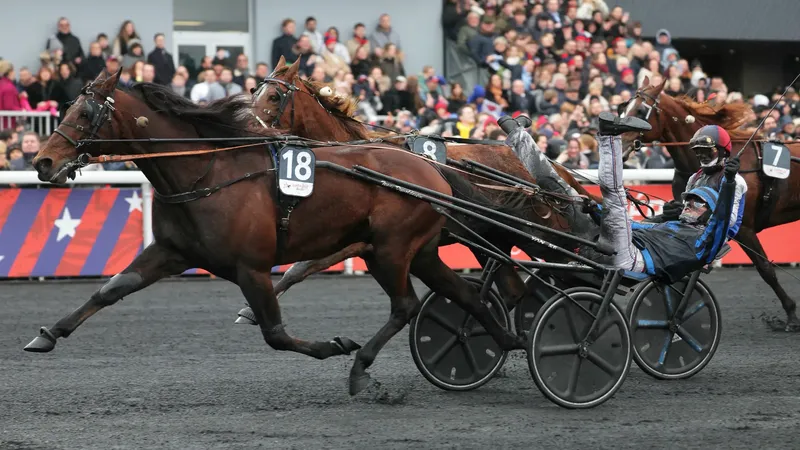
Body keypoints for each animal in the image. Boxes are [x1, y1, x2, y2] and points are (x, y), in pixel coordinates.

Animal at [25, 68, 540, 396]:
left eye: (86, 114)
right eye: (67, 105)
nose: (42, 161)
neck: (205, 171)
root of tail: (431, 169)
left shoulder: (251, 267)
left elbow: (275, 332)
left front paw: (334, 346)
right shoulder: (172, 251)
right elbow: (112, 289)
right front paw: (47, 334)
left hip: (390, 250)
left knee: (407, 306)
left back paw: (362, 370)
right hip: (420, 251)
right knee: (466, 295)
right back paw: (506, 340)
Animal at [241, 57, 604, 324]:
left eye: (274, 96)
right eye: (253, 91)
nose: (243, 128)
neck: (357, 155)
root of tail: (552, 166)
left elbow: (301, 266)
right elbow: (298, 268)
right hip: (496, 236)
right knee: (517, 290)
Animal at [620, 76, 800, 330]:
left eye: (640, 110)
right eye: (624, 106)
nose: (617, 143)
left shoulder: (743, 228)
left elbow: (765, 269)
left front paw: (791, 314)